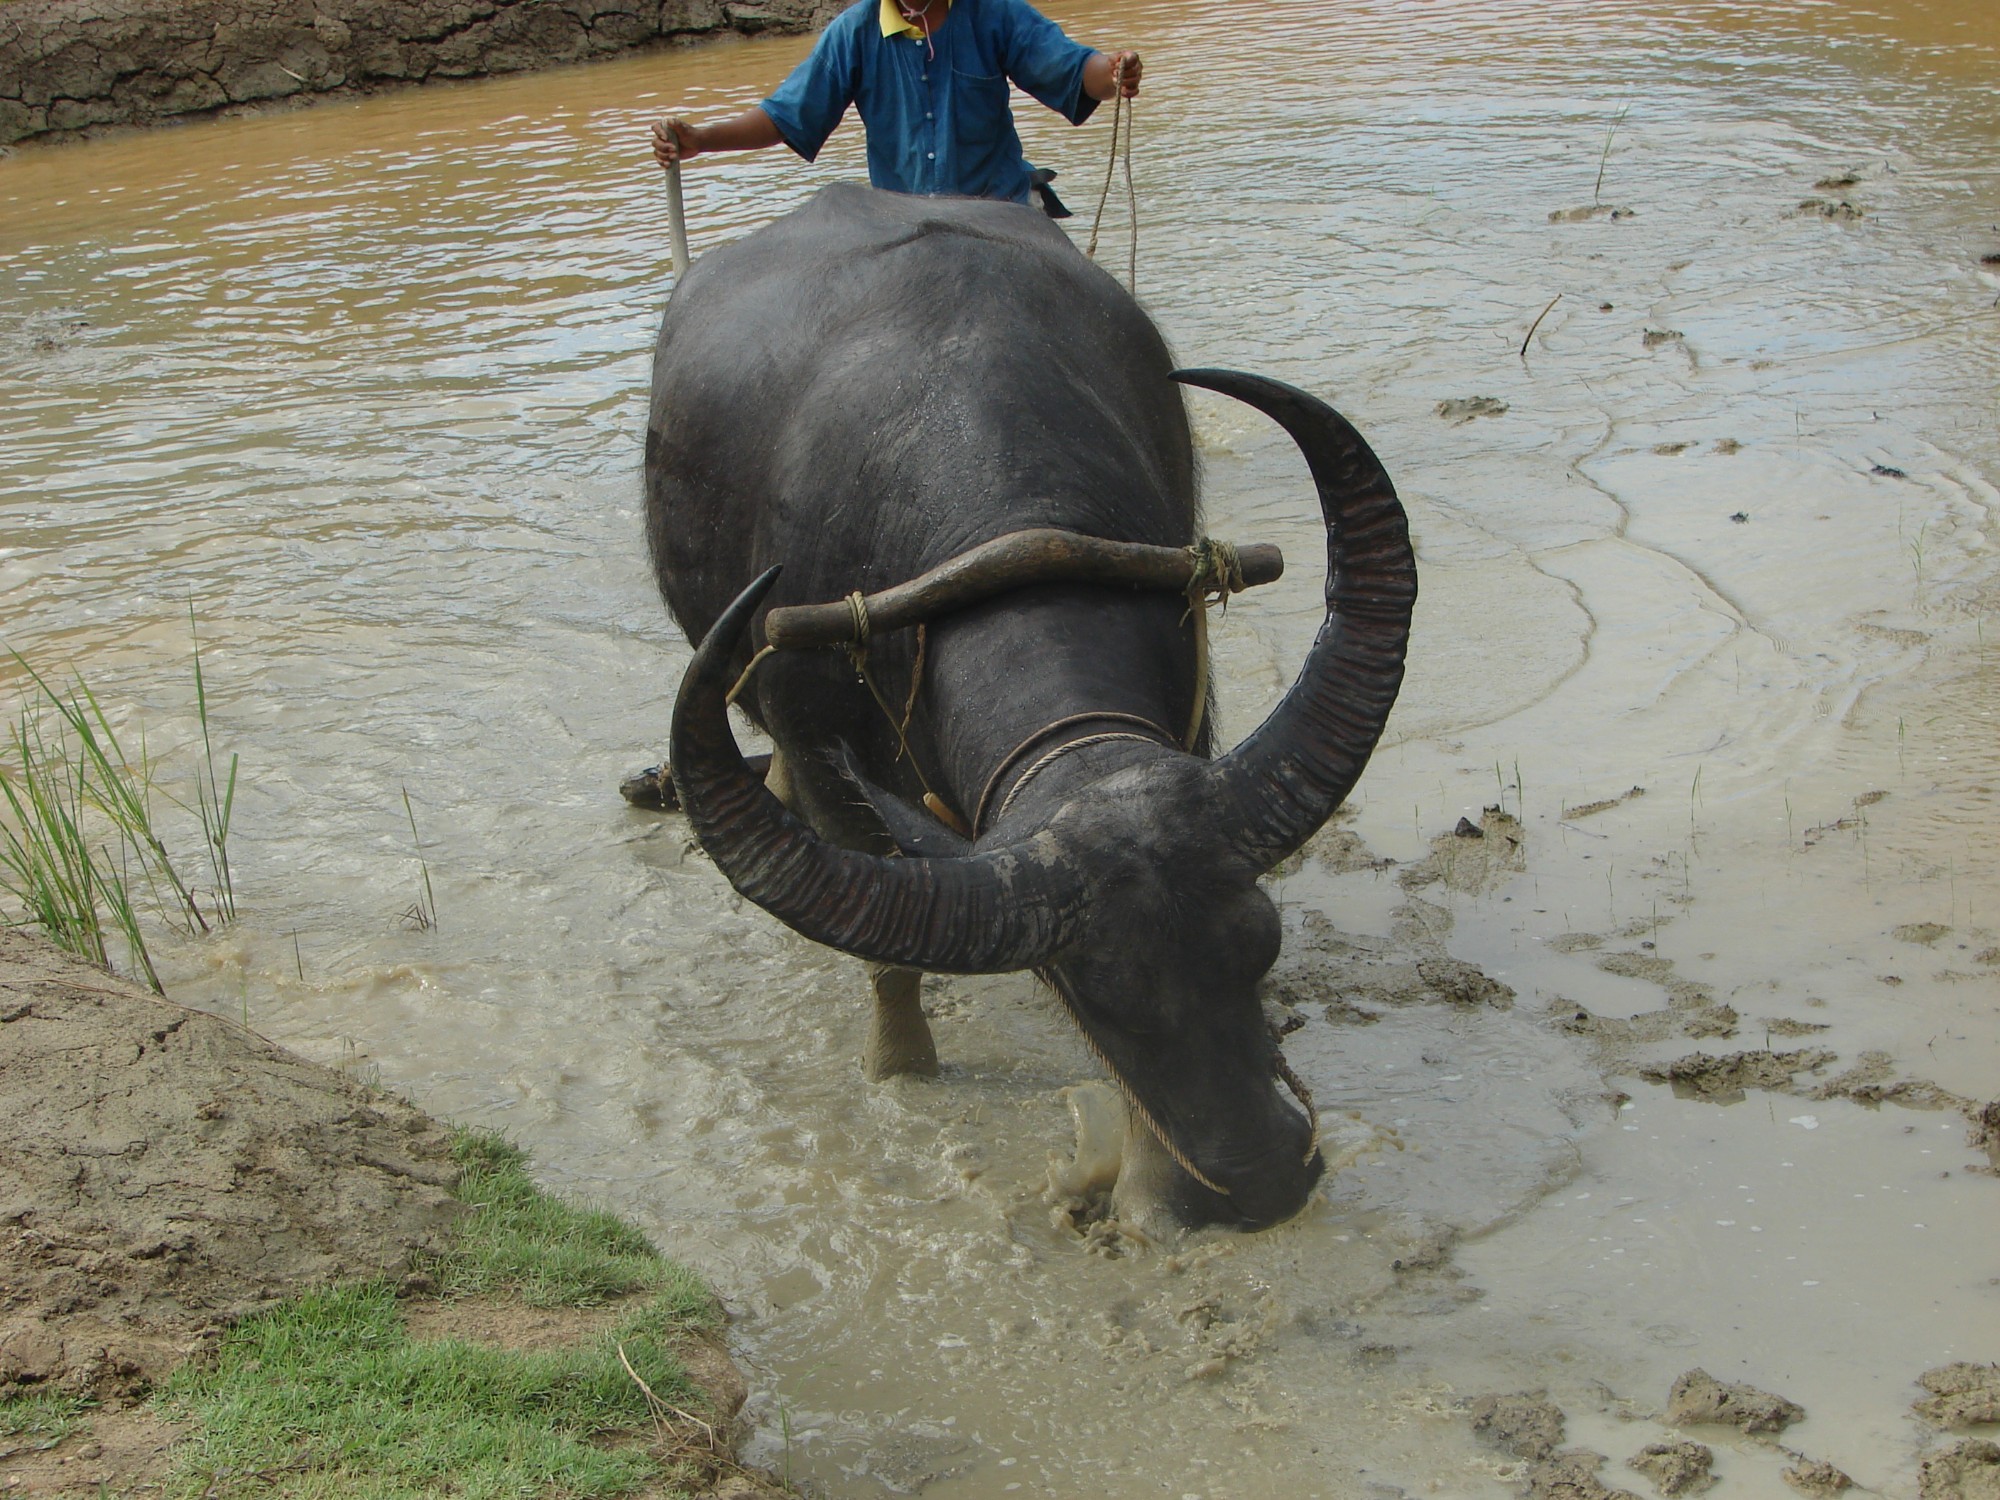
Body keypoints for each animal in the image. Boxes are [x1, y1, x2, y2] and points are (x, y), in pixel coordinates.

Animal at [648, 185, 1416, 1232]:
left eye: (1263, 943)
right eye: (1089, 995)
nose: (1259, 1178)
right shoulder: (817, 742)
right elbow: (888, 955)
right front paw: (901, 1067)